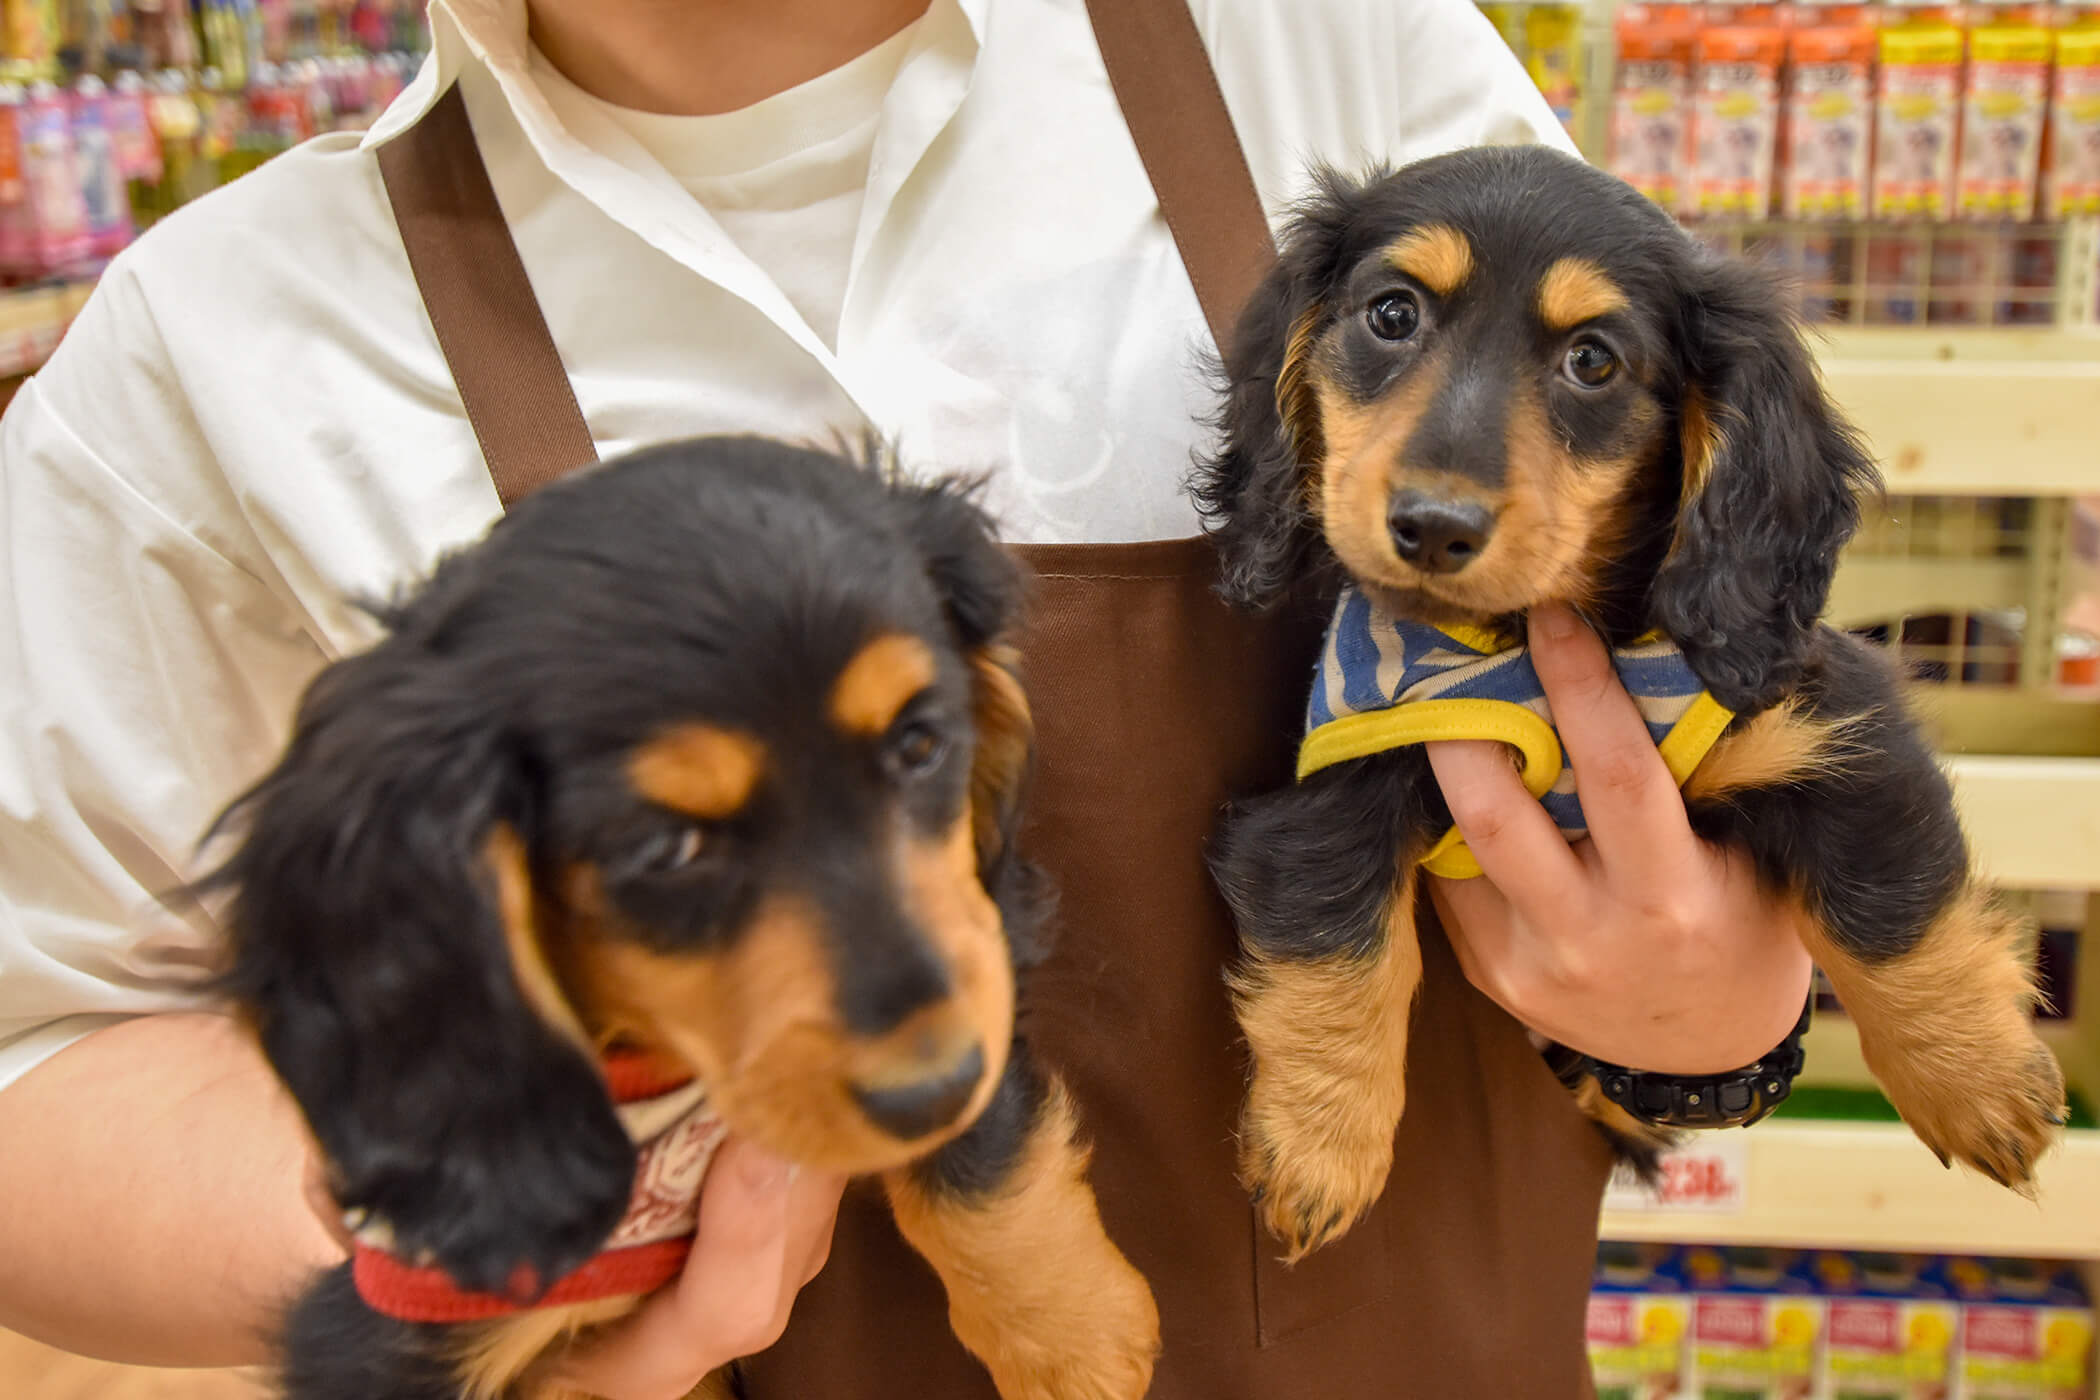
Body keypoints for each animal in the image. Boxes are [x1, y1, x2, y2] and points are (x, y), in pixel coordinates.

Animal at [1201, 147, 2066, 1267]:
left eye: (1593, 361)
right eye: (1392, 314)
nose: (1433, 526)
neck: (1527, 638)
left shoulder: (1834, 733)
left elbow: (1891, 906)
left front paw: (1976, 1078)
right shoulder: (1331, 789)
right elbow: (1336, 950)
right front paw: (1320, 1146)